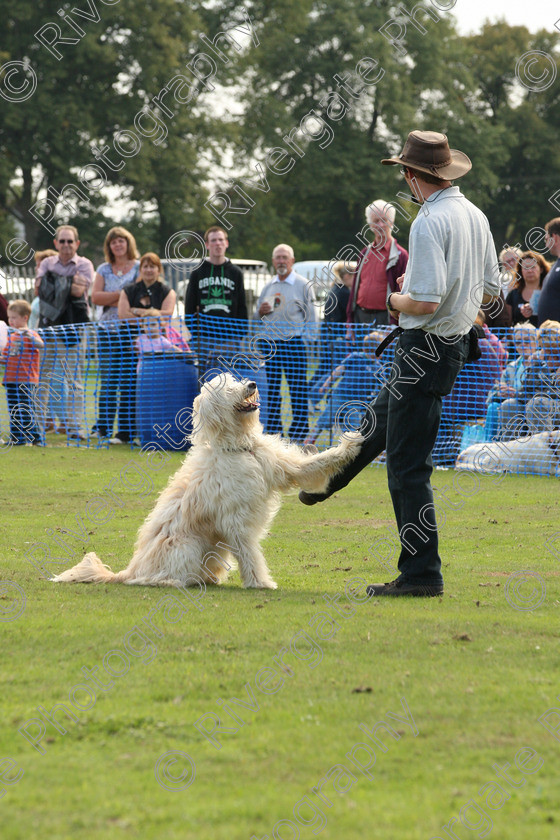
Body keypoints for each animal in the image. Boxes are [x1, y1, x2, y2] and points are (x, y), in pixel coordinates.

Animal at [51, 374, 358, 592]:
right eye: (228, 389)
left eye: (235, 380)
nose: (252, 384)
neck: (237, 447)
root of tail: (130, 570)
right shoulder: (236, 521)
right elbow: (249, 552)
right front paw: (260, 582)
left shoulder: (282, 467)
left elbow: (315, 464)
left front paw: (352, 443)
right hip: (186, 545)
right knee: (154, 578)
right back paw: (174, 581)